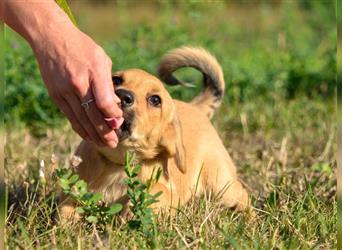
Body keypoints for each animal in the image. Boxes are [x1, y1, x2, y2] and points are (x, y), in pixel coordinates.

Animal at [59, 47, 248, 219]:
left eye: (155, 100)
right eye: (116, 80)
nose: (122, 95)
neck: (117, 164)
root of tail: (195, 107)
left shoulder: (170, 193)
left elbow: (156, 191)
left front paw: (131, 212)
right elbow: (66, 207)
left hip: (220, 184)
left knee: (243, 196)